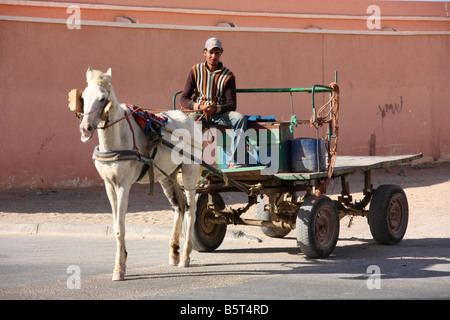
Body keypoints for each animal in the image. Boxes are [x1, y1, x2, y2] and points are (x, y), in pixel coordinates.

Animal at [79, 67, 200, 280]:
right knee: (179, 207)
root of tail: (189, 119)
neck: (117, 138)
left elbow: (120, 227)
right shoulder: (109, 185)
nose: (85, 128)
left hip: (189, 171)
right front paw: (123, 260)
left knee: (191, 210)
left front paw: (119, 268)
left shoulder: (123, 185)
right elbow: (115, 224)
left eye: (102, 98)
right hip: (167, 176)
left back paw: (185, 255)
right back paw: (174, 252)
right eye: (84, 97)